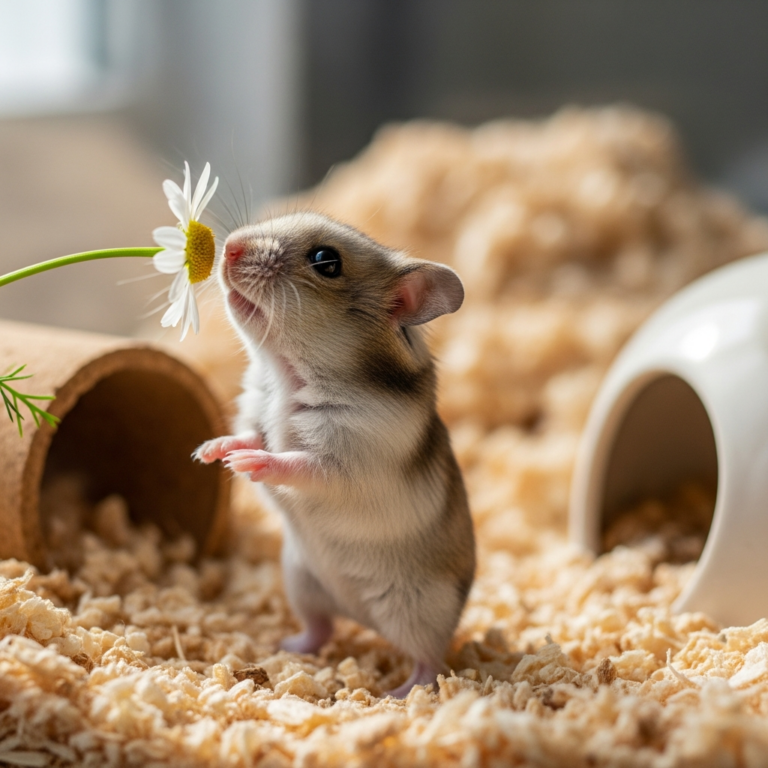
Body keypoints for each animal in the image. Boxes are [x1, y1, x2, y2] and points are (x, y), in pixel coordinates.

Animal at [195, 212, 475, 697]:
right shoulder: (257, 417)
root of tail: (363, 619)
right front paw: (212, 453)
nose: (229, 247)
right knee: (321, 628)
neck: (289, 373)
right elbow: (251, 435)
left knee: (429, 662)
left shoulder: (347, 462)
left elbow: (296, 462)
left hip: (418, 611)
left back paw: (396, 694)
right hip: (301, 581)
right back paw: (285, 644)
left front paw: (250, 467)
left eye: (326, 261)